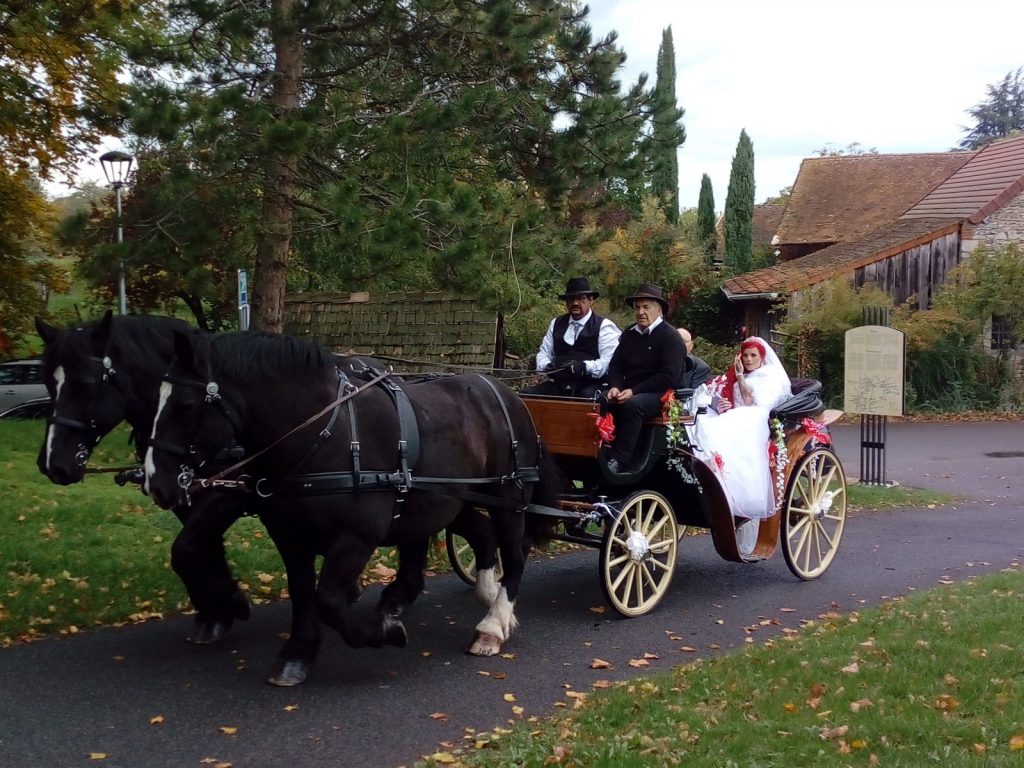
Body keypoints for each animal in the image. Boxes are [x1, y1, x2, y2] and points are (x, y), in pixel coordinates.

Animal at [144, 329, 561, 684]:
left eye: (185, 404)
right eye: (155, 399)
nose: (153, 481)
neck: (324, 433)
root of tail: (509, 394)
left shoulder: (357, 537)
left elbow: (328, 600)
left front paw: (385, 632)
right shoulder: (290, 536)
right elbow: (302, 593)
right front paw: (296, 655)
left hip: (508, 497)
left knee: (516, 552)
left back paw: (493, 625)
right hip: (458, 499)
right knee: (485, 537)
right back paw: (488, 596)